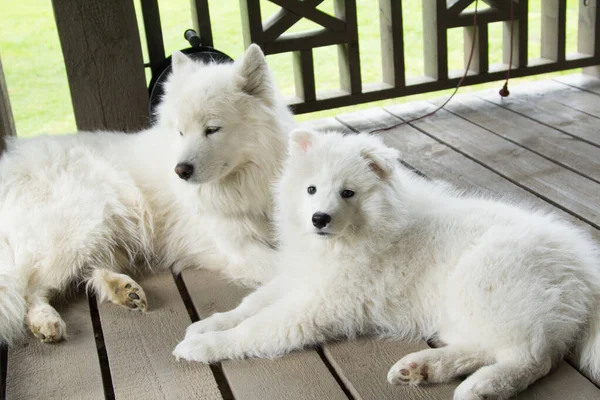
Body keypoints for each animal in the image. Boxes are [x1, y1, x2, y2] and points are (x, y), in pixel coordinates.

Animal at [0, 44, 296, 344]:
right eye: (181, 132)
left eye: (212, 129)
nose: (180, 170)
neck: (244, 184)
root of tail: (11, 167)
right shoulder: (236, 246)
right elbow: (283, 265)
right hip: (82, 226)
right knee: (30, 288)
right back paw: (46, 321)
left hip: (106, 233)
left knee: (89, 273)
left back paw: (122, 290)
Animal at [173, 130, 600, 400]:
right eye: (311, 189)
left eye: (348, 193)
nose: (319, 219)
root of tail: (584, 267)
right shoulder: (300, 279)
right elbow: (251, 305)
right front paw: (208, 324)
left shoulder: (318, 306)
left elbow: (258, 327)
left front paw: (205, 346)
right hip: (464, 308)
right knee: (489, 346)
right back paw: (422, 367)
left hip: (485, 284)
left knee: (531, 357)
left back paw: (480, 388)